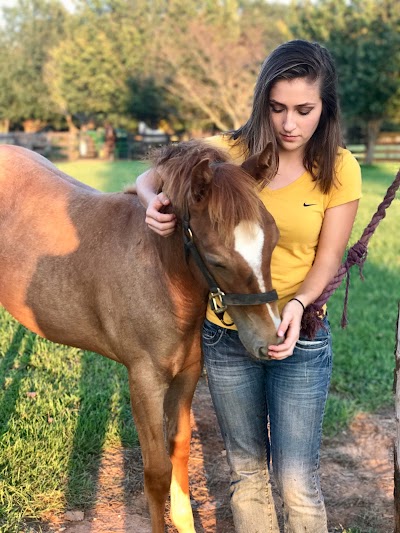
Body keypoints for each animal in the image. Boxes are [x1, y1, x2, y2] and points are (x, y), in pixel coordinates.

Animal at [0, 140, 282, 532]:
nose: (269, 341)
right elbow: (157, 472)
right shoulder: (144, 381)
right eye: (217, 260)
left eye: (273, 240)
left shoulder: (187, 375)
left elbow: (180, 451)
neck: (160, 272)